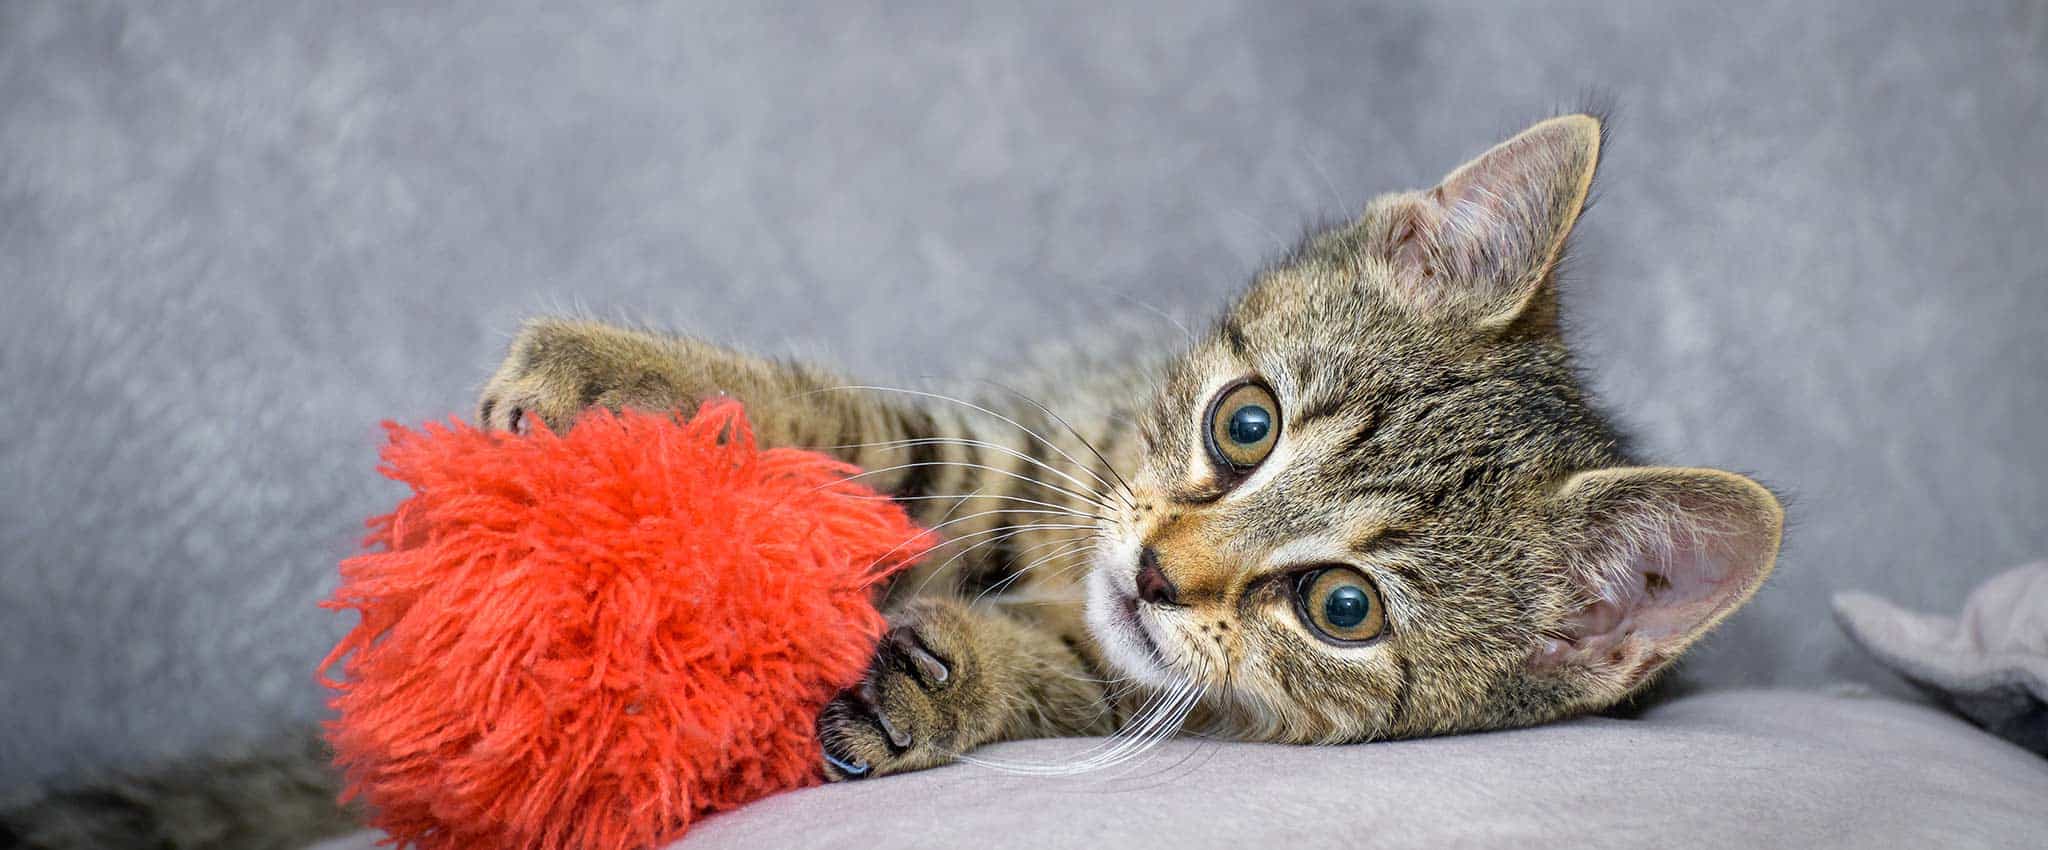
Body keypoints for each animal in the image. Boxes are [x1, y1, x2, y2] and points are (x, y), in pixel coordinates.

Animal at [475, 114, 1777, 786]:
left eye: (1342, 607)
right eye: (1243, 423)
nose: (1154, 572)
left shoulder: (1125, 671)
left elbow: (1068, 673)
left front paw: (935, 678)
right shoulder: (1039, 453)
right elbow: (885, 436)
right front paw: (605, 373)